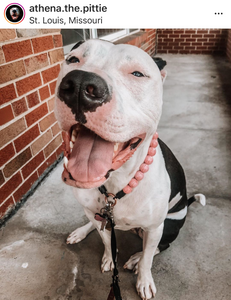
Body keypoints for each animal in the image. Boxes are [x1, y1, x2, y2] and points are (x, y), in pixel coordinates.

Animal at [54, 39, 206, 300]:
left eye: (137, 74)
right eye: (72, 60)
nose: (80, 85)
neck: (115, 187)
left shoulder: (155, 228)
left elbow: (148, 259)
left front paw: (143, 278)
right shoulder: (98, 216)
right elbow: (106, 242)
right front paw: (109, 258)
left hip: (170, 224)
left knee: (159, 248)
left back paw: (135, 258)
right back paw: (81, 231)